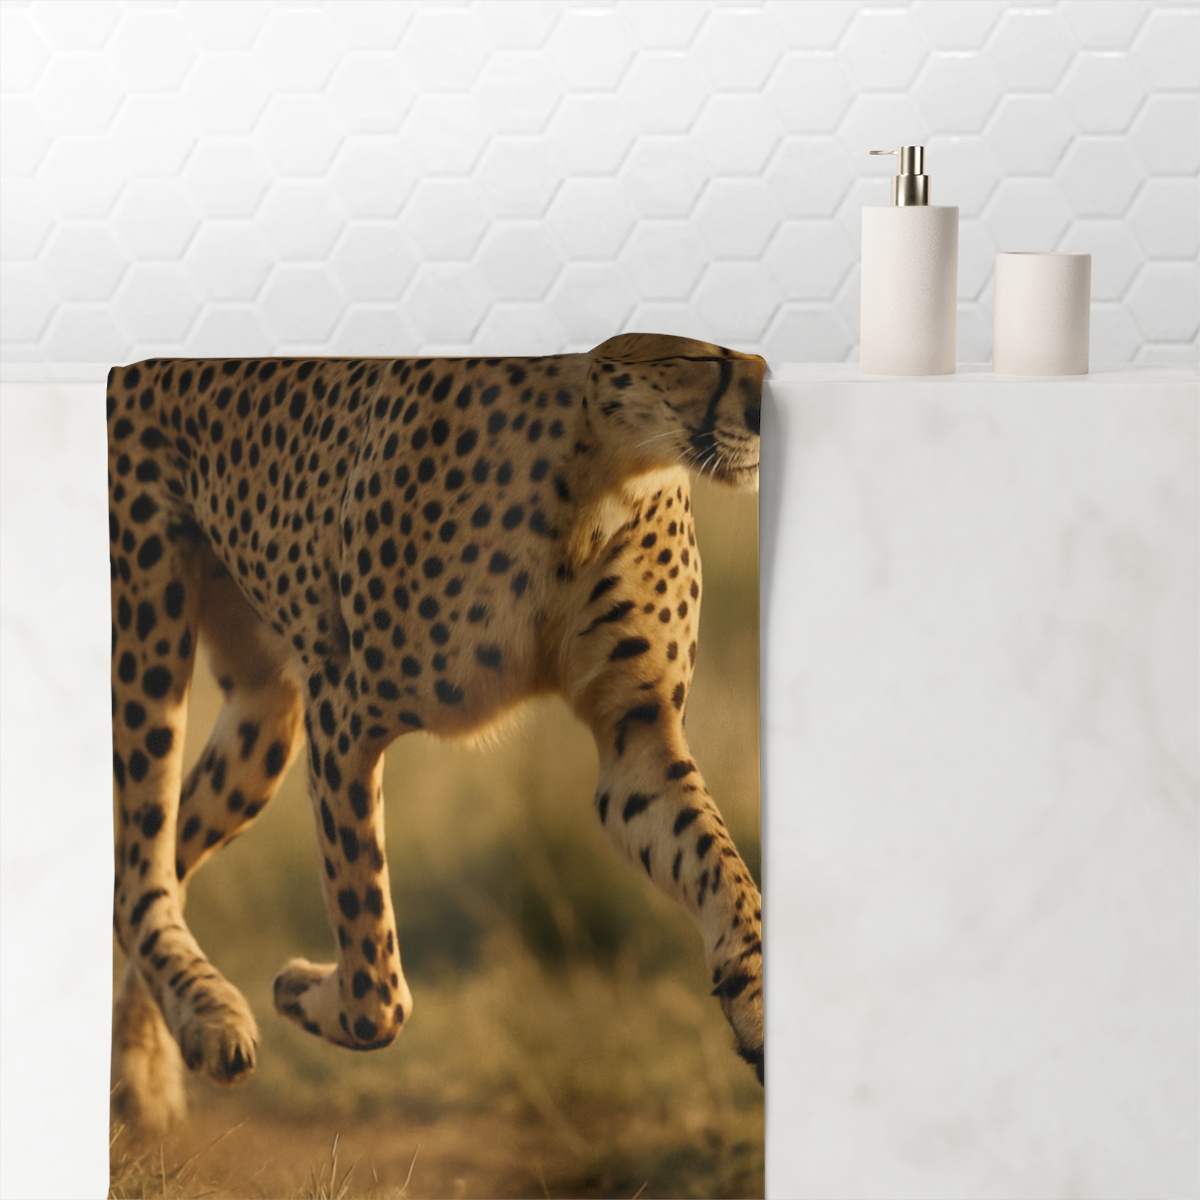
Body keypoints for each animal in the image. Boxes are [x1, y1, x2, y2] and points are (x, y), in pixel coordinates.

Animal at [107, 332, 765, 1135]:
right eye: (698, 353)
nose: (765, 414)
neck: (603, 465)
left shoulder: (634, 737)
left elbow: (723, 870)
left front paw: (757, 1006)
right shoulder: (344, 706)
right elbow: (376, 971)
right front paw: (301, 989)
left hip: (263, 716)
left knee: (148, 868)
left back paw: (153, 1069)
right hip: (150, 618)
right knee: (140, 869)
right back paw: (210, 1020)